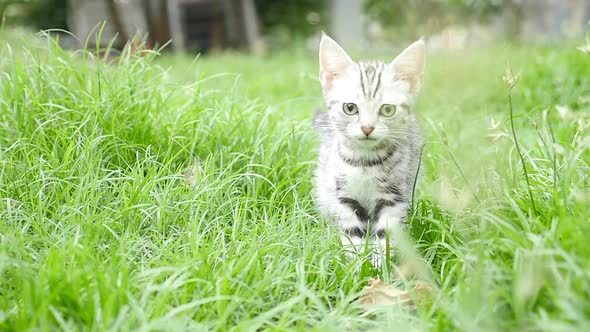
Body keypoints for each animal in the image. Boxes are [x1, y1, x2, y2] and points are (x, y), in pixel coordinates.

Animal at [314, 33, 426, 262]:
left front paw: (378, 264)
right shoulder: (345, 196)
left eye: (387, 110)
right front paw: (356, 265)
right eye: (350, 108)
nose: (367, 128)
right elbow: (352, 233)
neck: (364, 163)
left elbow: (385, 235)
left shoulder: (393, 197)